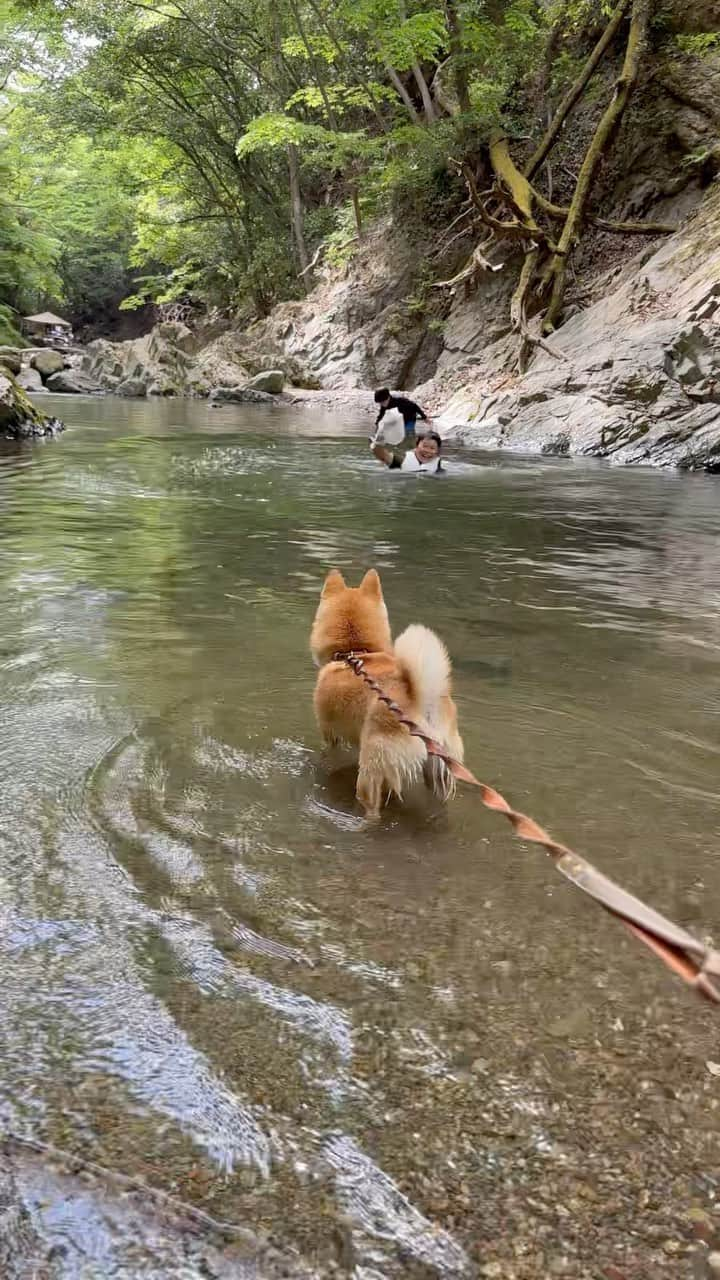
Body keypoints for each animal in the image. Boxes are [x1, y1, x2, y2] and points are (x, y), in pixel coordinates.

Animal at [307, 570, 461, 819]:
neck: (354, 652)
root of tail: (422, 704)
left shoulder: (330, 734)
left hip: (371, 768)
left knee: (373, 810)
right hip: (438, 770)